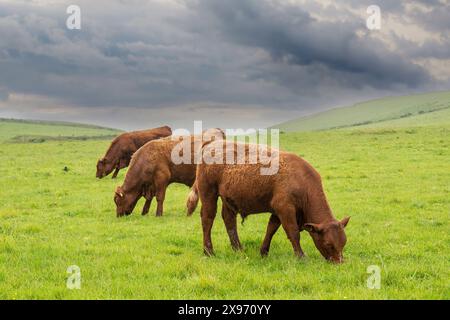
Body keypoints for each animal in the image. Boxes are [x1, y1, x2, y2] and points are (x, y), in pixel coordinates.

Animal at [186, 140, 352, 262]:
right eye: (328, 244)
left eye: (343, 242)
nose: (339, 262)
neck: (301, 181)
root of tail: (211, 144)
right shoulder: (285, 208)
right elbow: (293, 232)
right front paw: (301, 256)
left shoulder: (277, 211)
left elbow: (270, 229)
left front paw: (263, 252)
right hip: (209, 194)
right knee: (207, 219)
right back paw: (209, 251)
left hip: (229, 200)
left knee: (229, 220)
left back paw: (238, 249)